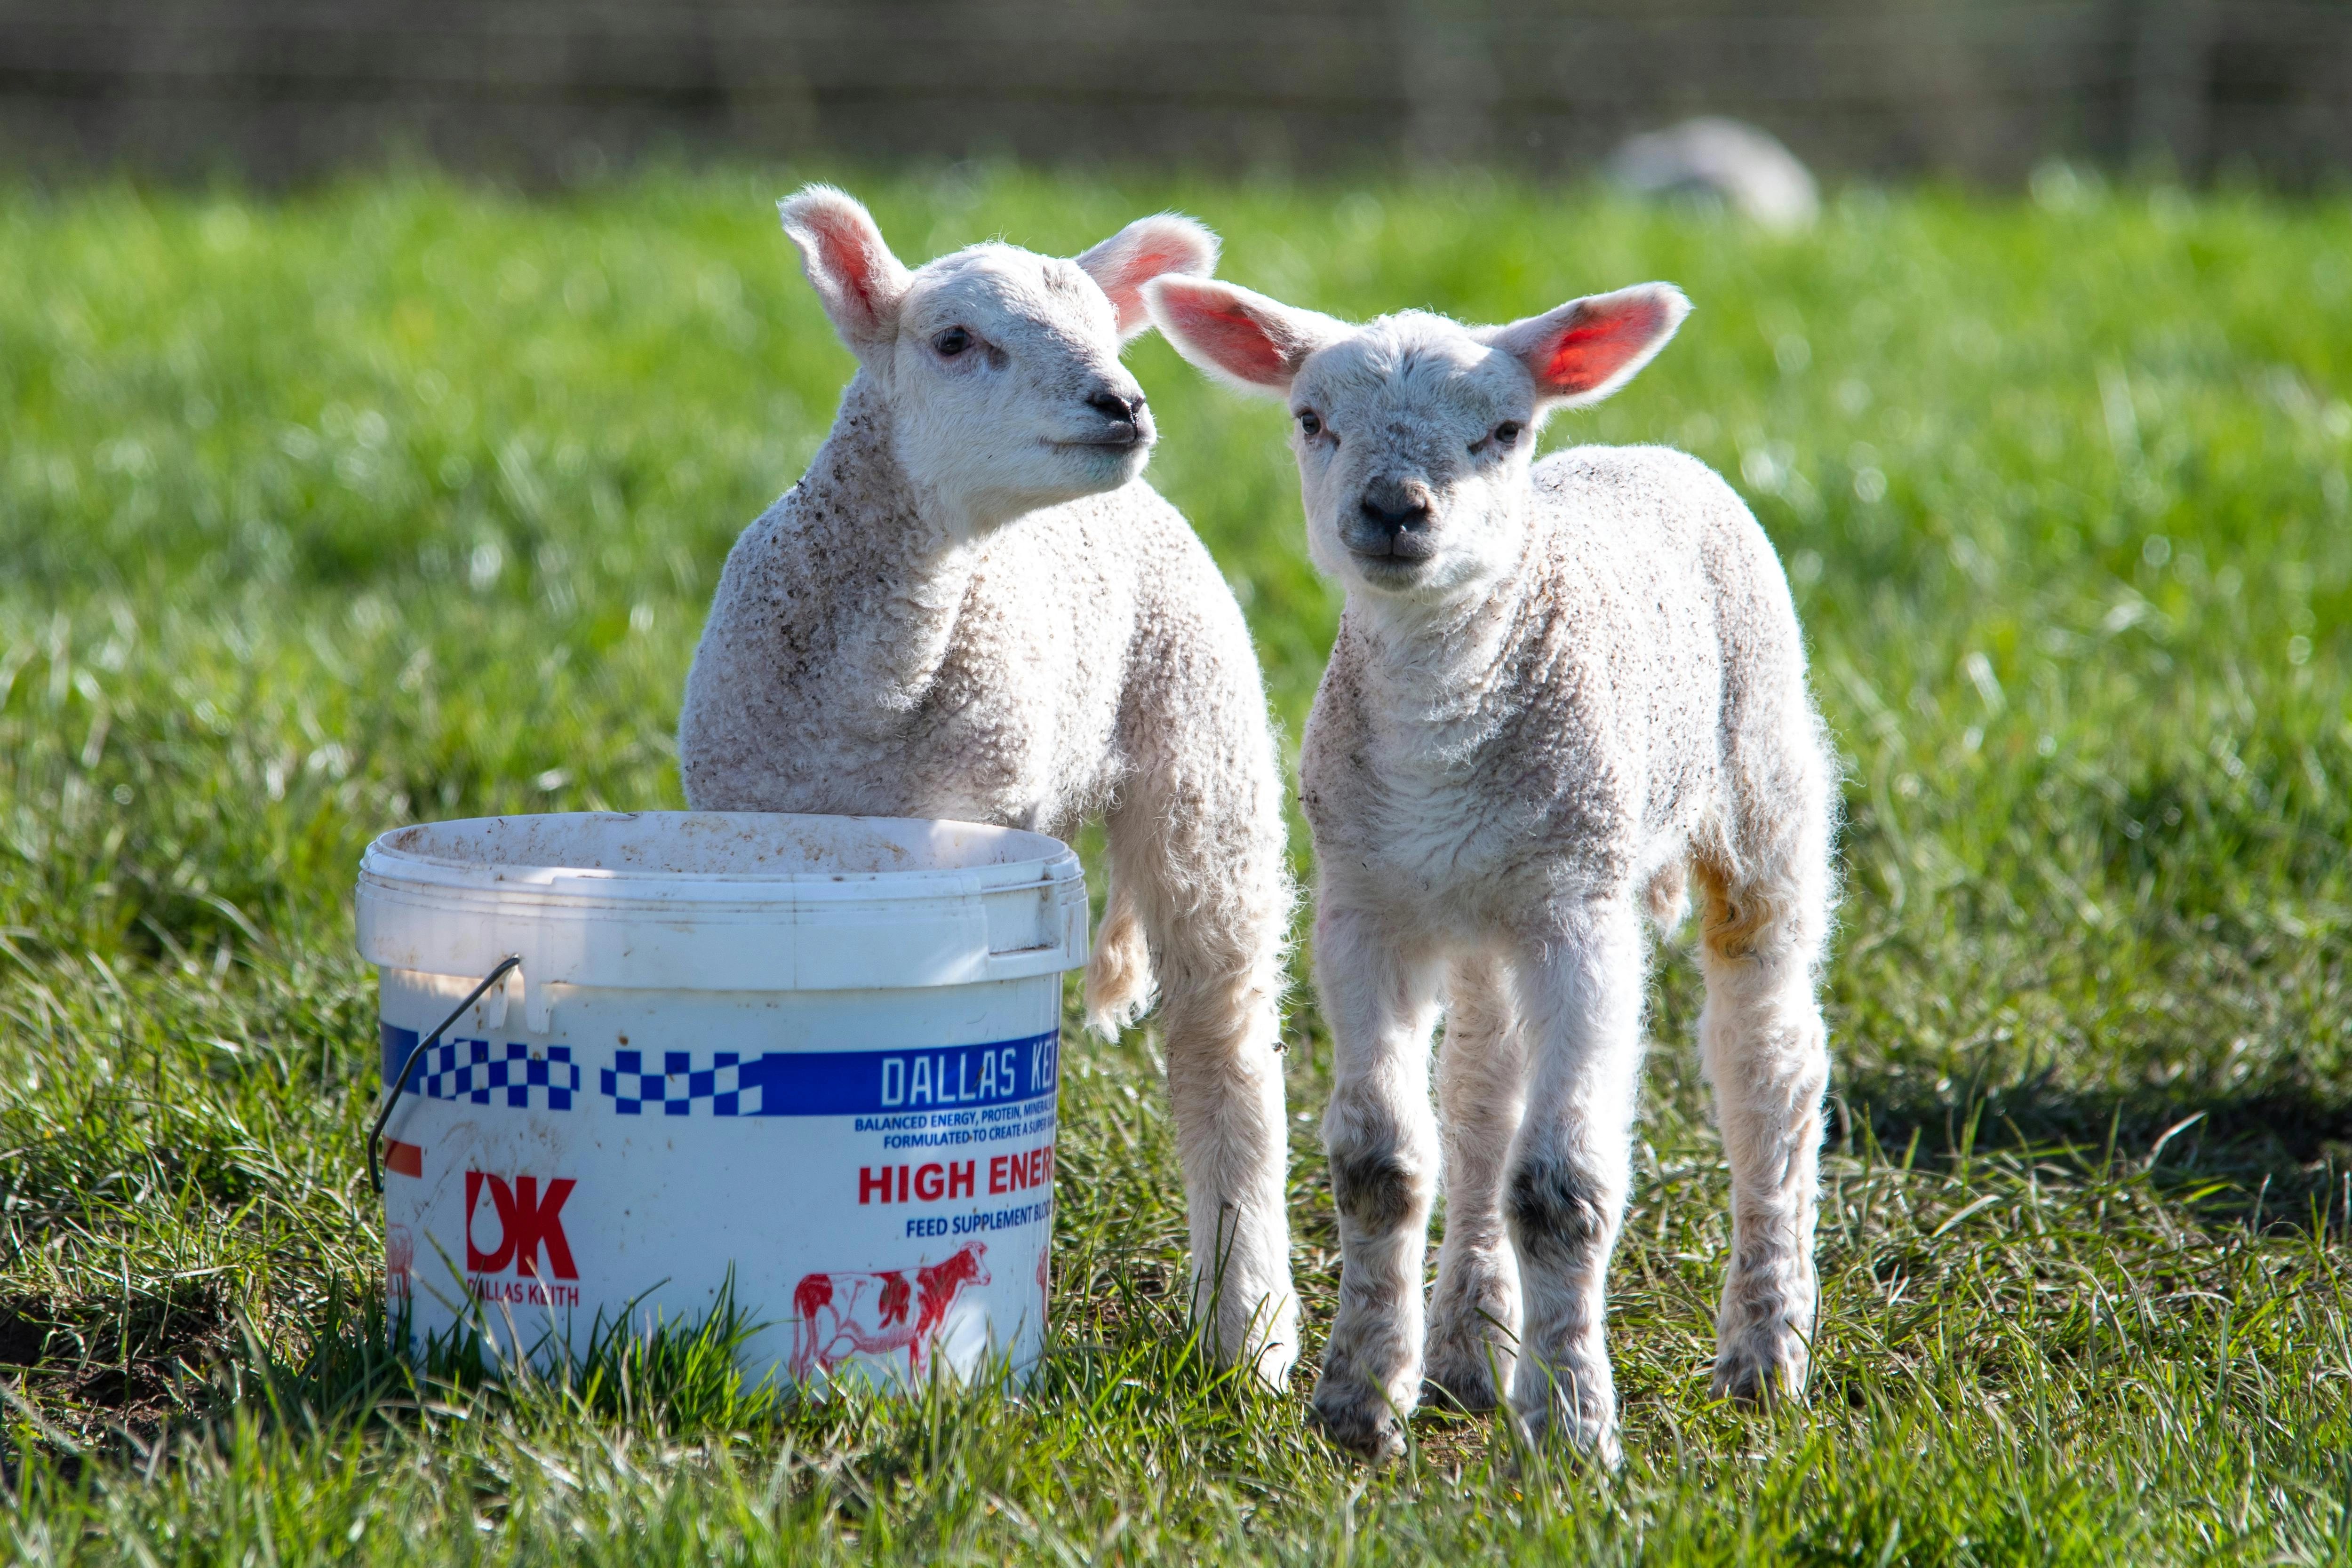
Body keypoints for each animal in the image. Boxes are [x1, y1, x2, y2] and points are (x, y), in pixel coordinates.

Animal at [678, 187, 1300, 1388]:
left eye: (1108, 333)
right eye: (954, 341)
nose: (1122, 402)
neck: (870, 697)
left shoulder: (967, 823)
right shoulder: (745, 810)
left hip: (1204, 756)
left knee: (1225, 1045)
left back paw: (1248, 1331)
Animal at [1145, 272, 1836, 1461]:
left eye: (1503, 431)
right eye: (1311, 420)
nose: (1393, 508)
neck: (1442, 737)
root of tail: (1653, 451)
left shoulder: (1580, 912)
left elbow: (1561, 1187)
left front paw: (1571, 1427)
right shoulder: (1364, 906)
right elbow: (1380, 1164)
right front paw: (1358, 1405)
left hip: (1763, 793)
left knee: (1771, 1067)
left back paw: (1763, 1352)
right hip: (1481, 909)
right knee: (1479, 1095)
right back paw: (1470, 1353)